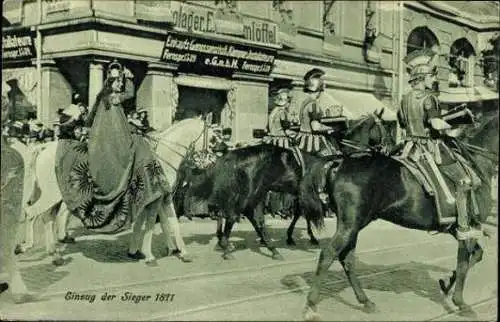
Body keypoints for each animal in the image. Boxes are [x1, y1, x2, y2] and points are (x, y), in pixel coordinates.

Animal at [18, 118, 211, 264]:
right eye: (214, 137)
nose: (209, 163)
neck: (161, 157)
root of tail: (44, 147)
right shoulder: (152, 200)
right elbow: (150, 224)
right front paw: (150, 255)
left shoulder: (162, 198)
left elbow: (168, 222)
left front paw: (178, 251)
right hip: (53, 195)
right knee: (31, 213)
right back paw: (27, 246)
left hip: (54, 196)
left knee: (47, 217)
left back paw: (54, 252)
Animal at [302, 112, 498, 320]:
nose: (391, 146)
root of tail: (340, 162)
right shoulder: (468, 226)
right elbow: (463, 263)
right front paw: (460, 302)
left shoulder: (461, 229)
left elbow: (475, 256)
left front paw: (447, 283)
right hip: (350, 224)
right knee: (329, 254)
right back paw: (311, 305)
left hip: (354, 224)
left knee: (347, 258)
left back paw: (365, 301)